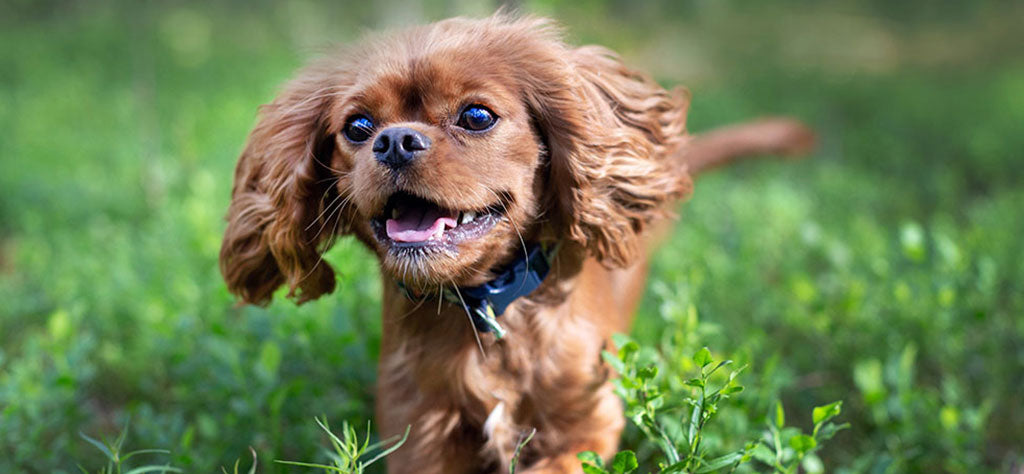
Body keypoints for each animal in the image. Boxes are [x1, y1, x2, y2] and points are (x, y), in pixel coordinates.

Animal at [220, 12, 811, 472]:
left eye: (476, 116)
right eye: (358, 127)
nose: (394, 140)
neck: (487, 308)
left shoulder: (588, 423)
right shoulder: (418, 429)